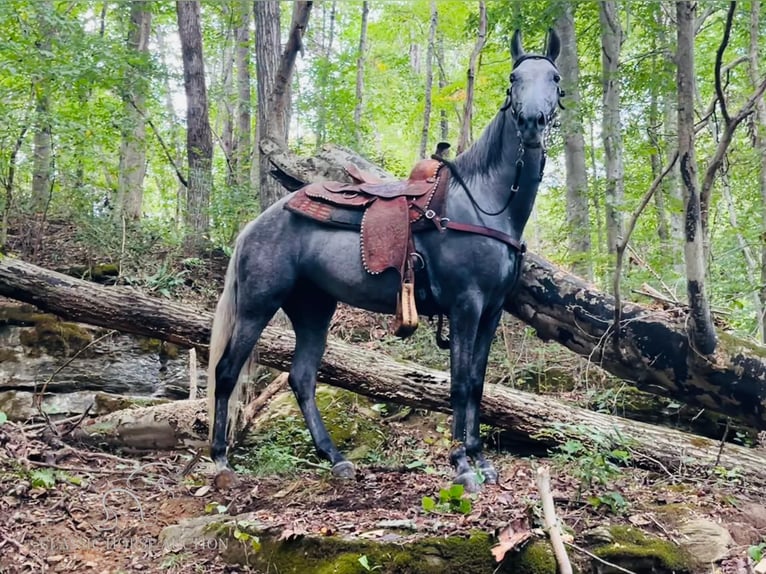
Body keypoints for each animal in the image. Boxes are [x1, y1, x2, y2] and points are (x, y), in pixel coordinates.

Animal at [210, 29, 564, 492]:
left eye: (555, 78)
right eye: (513, 78)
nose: (532, 122)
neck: (482, 203)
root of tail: (254, 226)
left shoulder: (491, 312)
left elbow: (477, 384)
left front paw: (481, 460)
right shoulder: (465, 305)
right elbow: (459, 384)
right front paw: (462, 465)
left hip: (313, 309)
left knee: (301, 378)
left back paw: (335, 458)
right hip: (257, 304)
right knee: (227, 370)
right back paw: (220, 460)